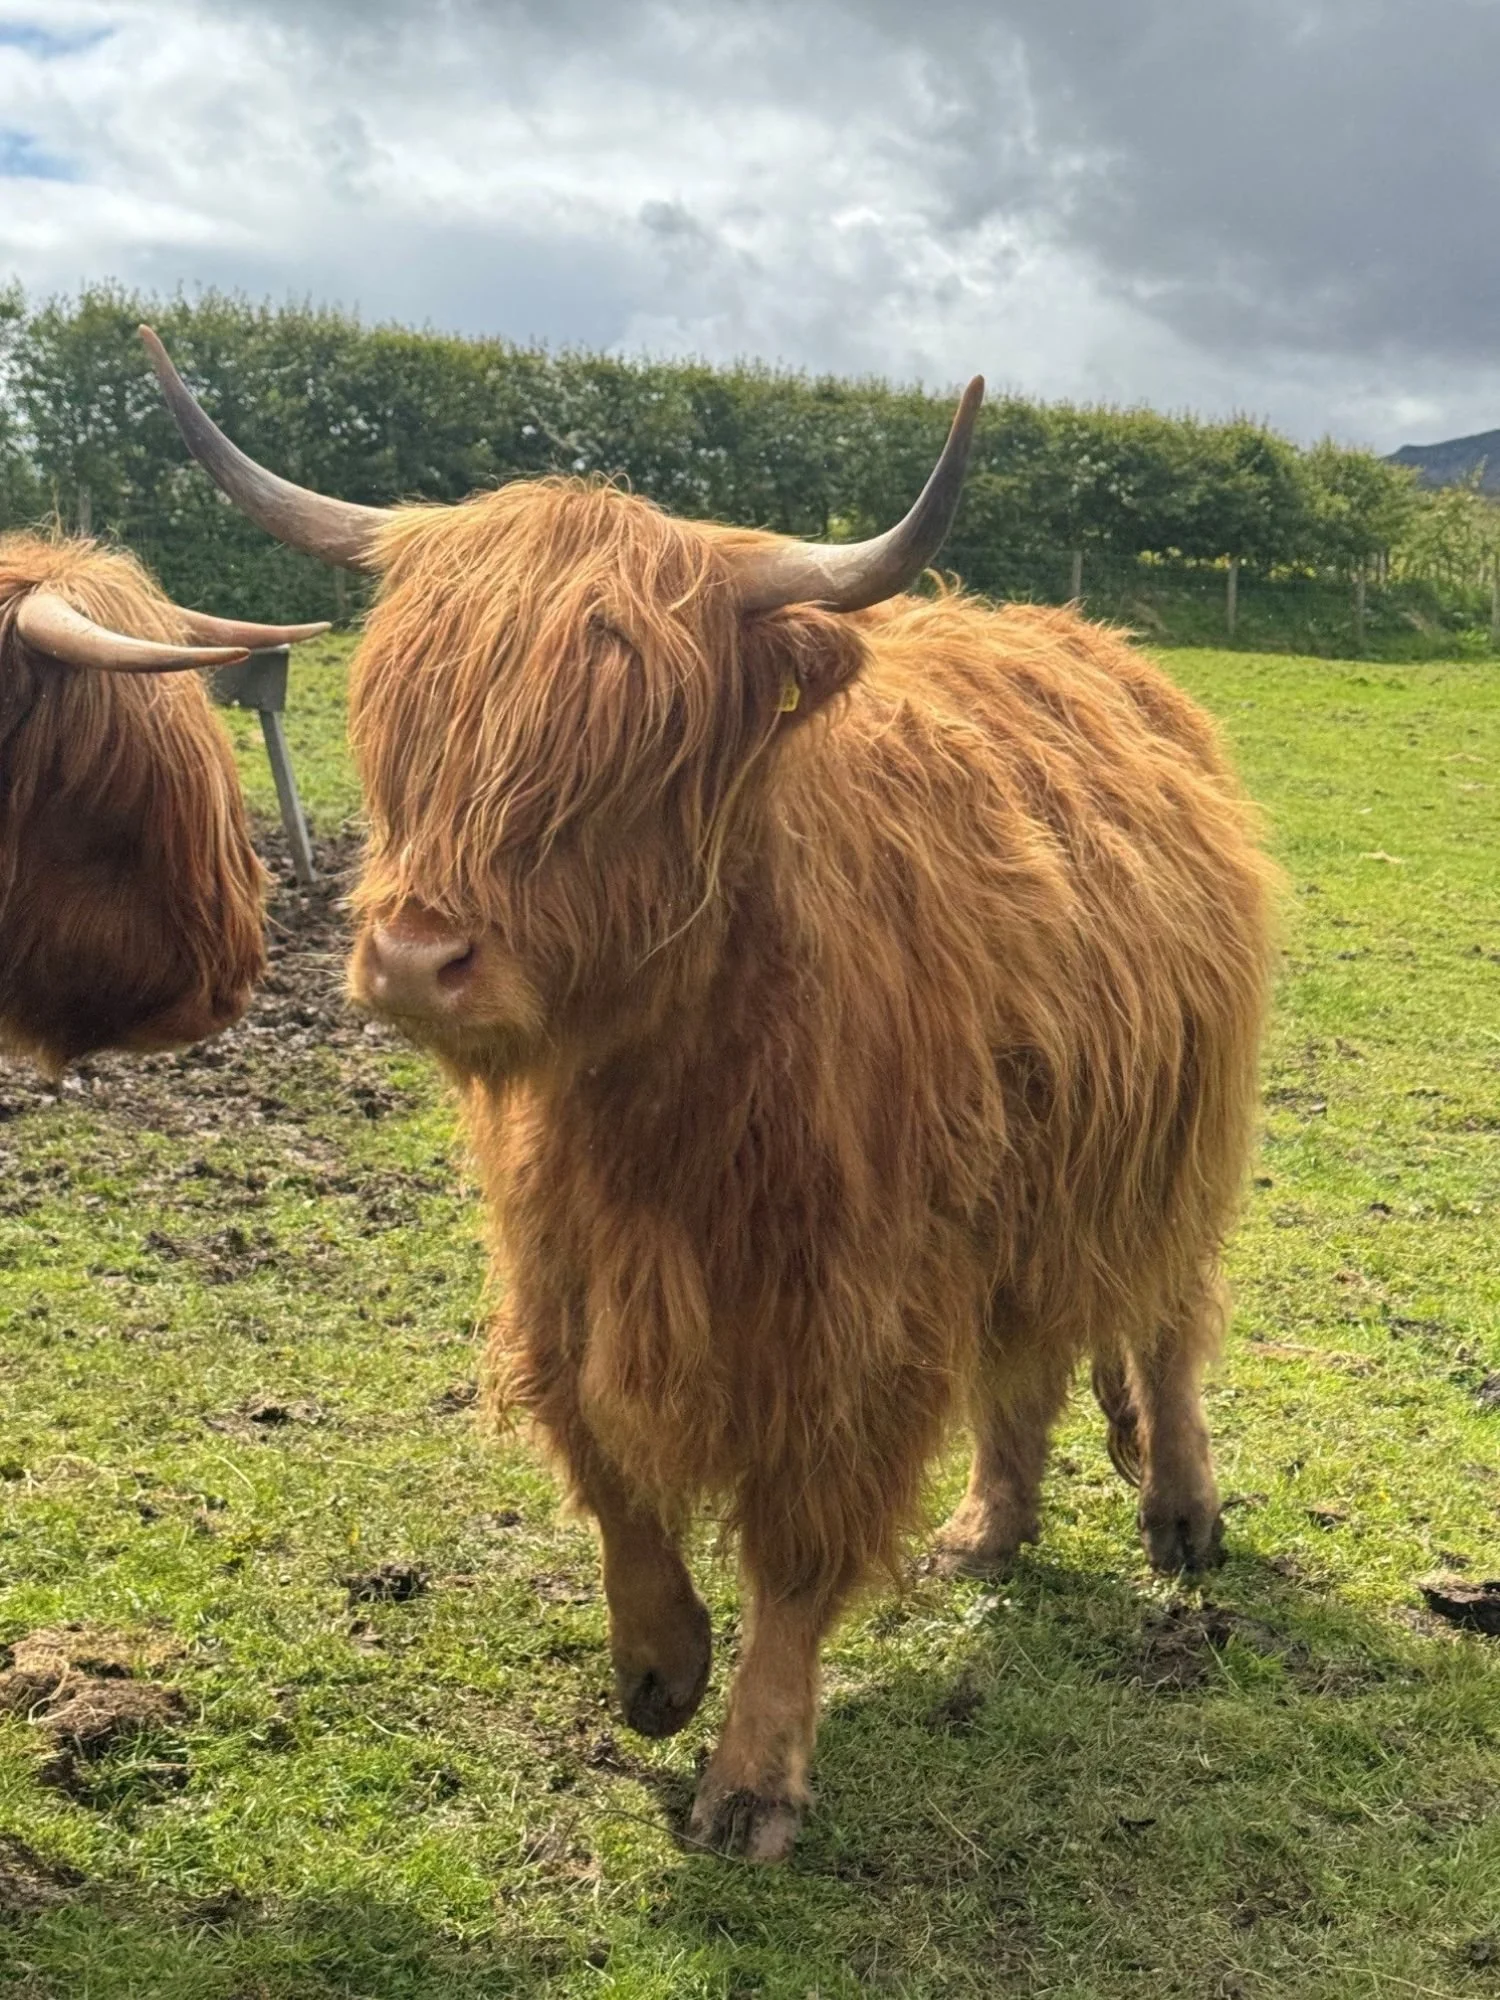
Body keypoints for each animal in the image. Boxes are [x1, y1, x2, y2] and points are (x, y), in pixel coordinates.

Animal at [143, 325, 1277, 1862]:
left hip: (1171, 1138)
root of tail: (1107, 653)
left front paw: (752, 1775)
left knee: (1165, 1317)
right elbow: (604, 1454)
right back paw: (988, 1523)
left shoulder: (848, 1309)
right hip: (1020, 1163)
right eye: (406, 723)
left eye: (635, 751)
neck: (660, 1105)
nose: (415, 958)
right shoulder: (560, 1262)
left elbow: (797, 1543)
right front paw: (657, 1663)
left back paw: (1180, 1513)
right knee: (1023, 1349)